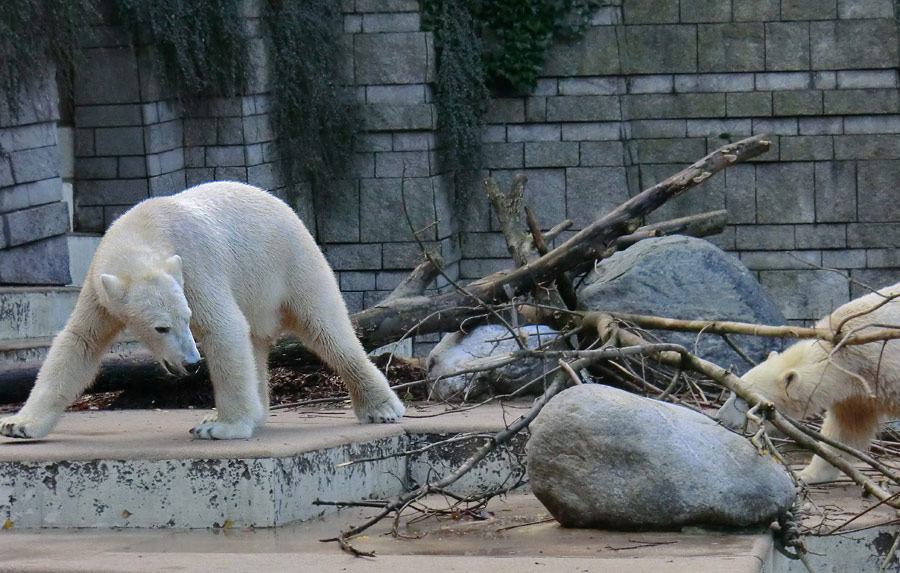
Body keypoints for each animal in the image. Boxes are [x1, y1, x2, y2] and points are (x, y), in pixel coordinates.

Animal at [0, 181, 404, 440]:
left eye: (187, 320)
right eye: (161, 328)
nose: (192, 363)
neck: (144, 229)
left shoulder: (194, 264)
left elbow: (223, 328)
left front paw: (221, 427)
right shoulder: (100, 290)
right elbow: (78, 343)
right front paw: (18, 424)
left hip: (292, 263)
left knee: (327, 330)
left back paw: (382, 407)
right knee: (256, 345)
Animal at [720, 282, 900, 482]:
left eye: (746, 400)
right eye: (733, 391)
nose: (720, 418)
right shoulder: (856, 390)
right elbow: (846, 430)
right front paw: (805, 475)